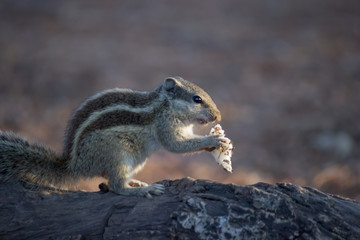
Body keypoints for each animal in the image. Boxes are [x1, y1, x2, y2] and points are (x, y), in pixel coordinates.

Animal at [0, 77, 225, 199]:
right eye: (197, 99)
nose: (218, 116)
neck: (164, 105)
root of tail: (76, 164)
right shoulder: (165, 126)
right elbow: (176, 146)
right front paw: (213, 141)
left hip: (135, 159)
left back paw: (136, 182)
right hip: (119, 155)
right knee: (117, 186)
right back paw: (141, 190)